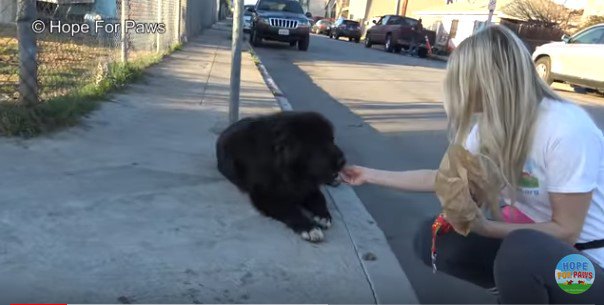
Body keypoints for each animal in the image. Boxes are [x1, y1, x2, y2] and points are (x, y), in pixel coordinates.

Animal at [218, 110, 346, 241]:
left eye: (332, 140)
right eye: (318, 144)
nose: (343, 161)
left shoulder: (309, 187)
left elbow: (320, 198)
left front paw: (323, 216)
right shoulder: (266, 196)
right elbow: (290, 210)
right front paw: (309, 228)